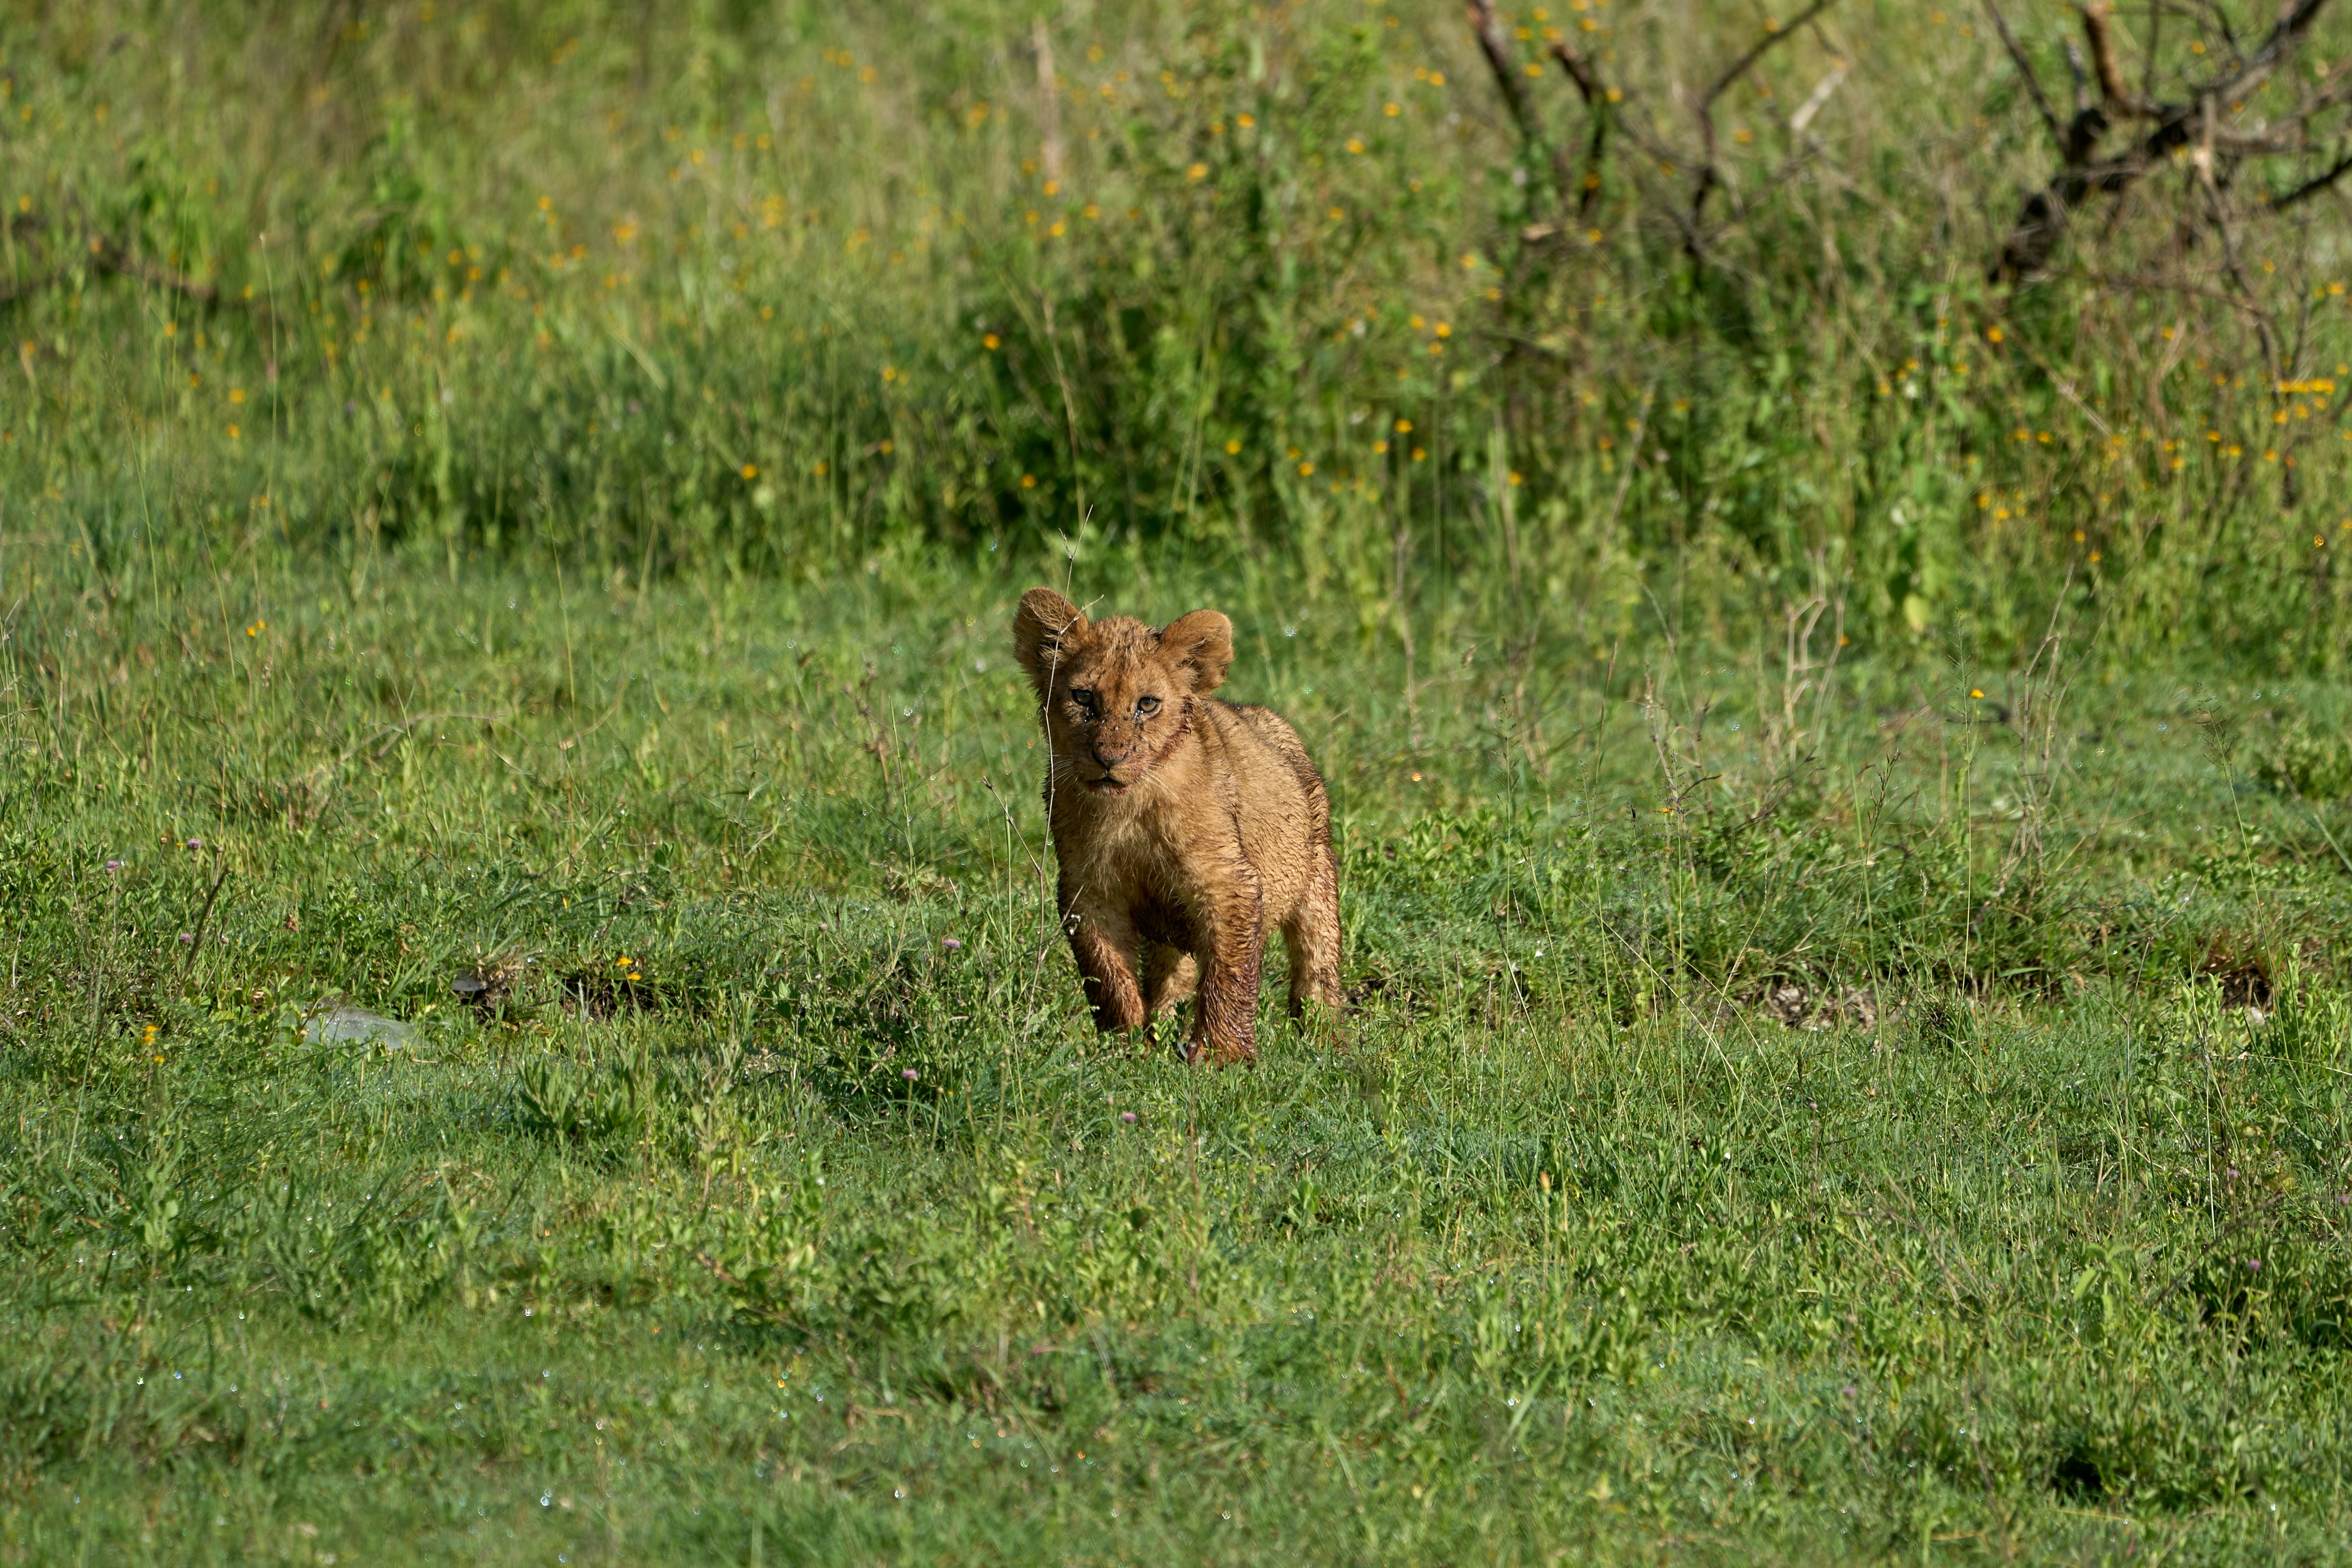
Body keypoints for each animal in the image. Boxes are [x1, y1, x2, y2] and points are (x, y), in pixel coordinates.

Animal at [1011, 587, 1342, 1064]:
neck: (1128, 810)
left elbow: (1228, 976)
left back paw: (1324, 1040)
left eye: (1147, 704)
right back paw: (1163, 1027)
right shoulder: (1089, 892)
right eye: (1083, 698)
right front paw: (1128, 1047)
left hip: (1316, 883)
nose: (1108, 758)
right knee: (1171, 976)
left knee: (1317, 962)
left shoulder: (1228, 883)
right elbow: (1108, 976)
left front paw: (1222, 1056)